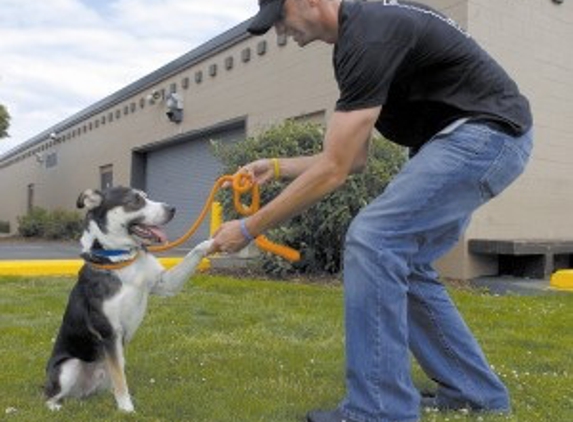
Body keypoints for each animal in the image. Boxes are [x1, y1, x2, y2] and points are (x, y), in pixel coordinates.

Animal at [44, 186, 210, 410]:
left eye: (147, 196)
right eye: (135, 200)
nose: (172, 209)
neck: (120, 259)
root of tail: (82, 394)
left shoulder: (164, 284)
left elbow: (195, 252)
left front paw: (215, 242)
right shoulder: (110, 332)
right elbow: (120, 380)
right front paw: (127, 410)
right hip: (68, 367)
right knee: (50, 395)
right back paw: (55, 407)